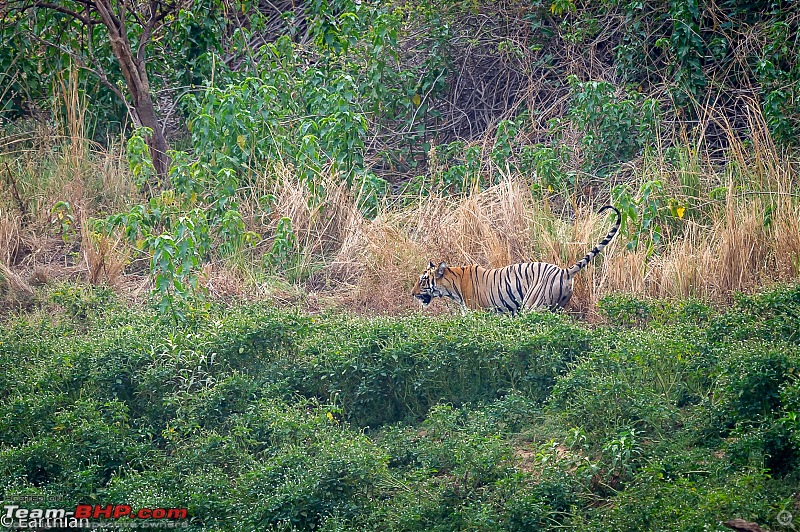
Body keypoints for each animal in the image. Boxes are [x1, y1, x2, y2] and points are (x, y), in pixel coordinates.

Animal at [412, 204, 624, 312]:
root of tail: (565, 271)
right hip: (558, 307)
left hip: (534, 306)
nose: (412, 294)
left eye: (422, 280)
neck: (452, 288)